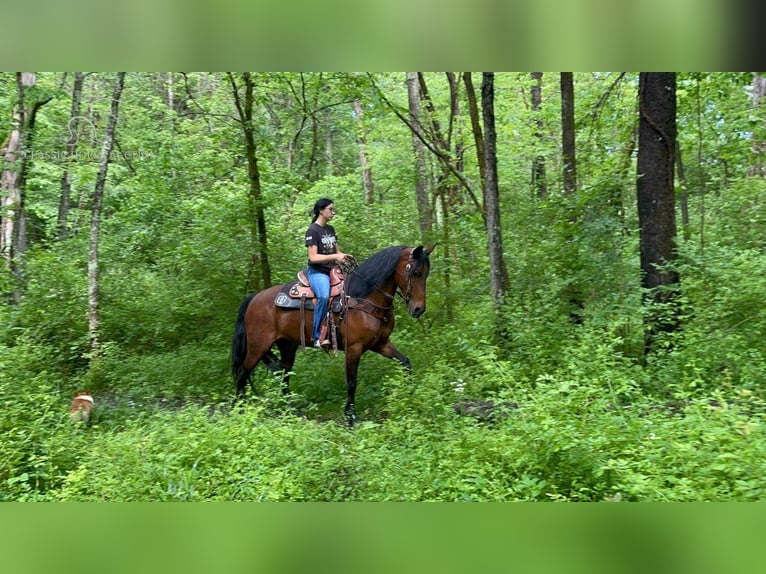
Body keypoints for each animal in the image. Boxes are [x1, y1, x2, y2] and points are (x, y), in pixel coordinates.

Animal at [231, 245, 436, 426]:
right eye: (416, 273)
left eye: (426, 274)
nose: (419, 309)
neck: (364, 298)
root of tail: (254, 298)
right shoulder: (353, 349)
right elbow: (352, 382)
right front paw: (350, 418)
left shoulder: (381, 344)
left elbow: (405, 363)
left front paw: (410, 397)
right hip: (258, 346)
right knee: (243, 372)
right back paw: (239, 409)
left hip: (287, 345)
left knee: (284, 375)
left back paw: (292, 411)